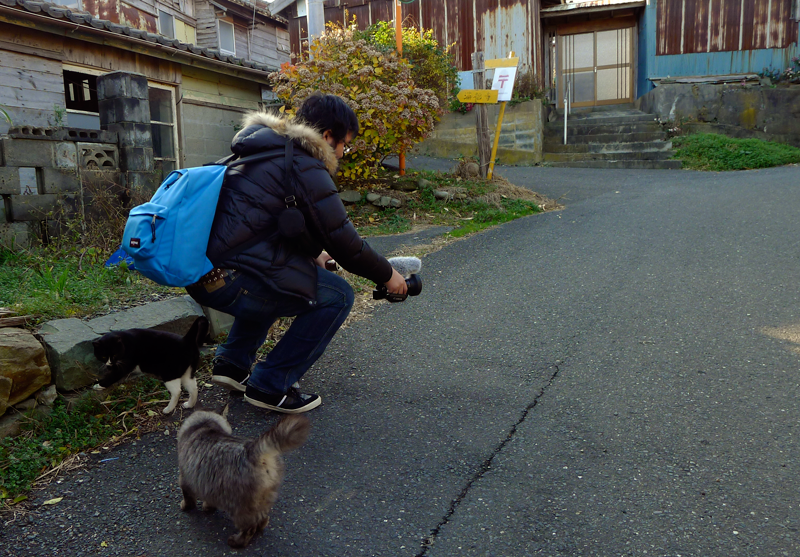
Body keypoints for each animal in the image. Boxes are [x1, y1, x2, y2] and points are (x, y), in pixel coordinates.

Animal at [177, 408, 310, 548]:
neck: (204, 426)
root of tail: (253, 451)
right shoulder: (209, 484)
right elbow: (209, 500)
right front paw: (208, 508)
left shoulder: (185, 478)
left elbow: (188, 498)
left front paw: (186, 506)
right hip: (264, 498)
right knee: (263, 518)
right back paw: (260, 527)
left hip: (240, 507)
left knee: (249, 528)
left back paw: (236, 541)